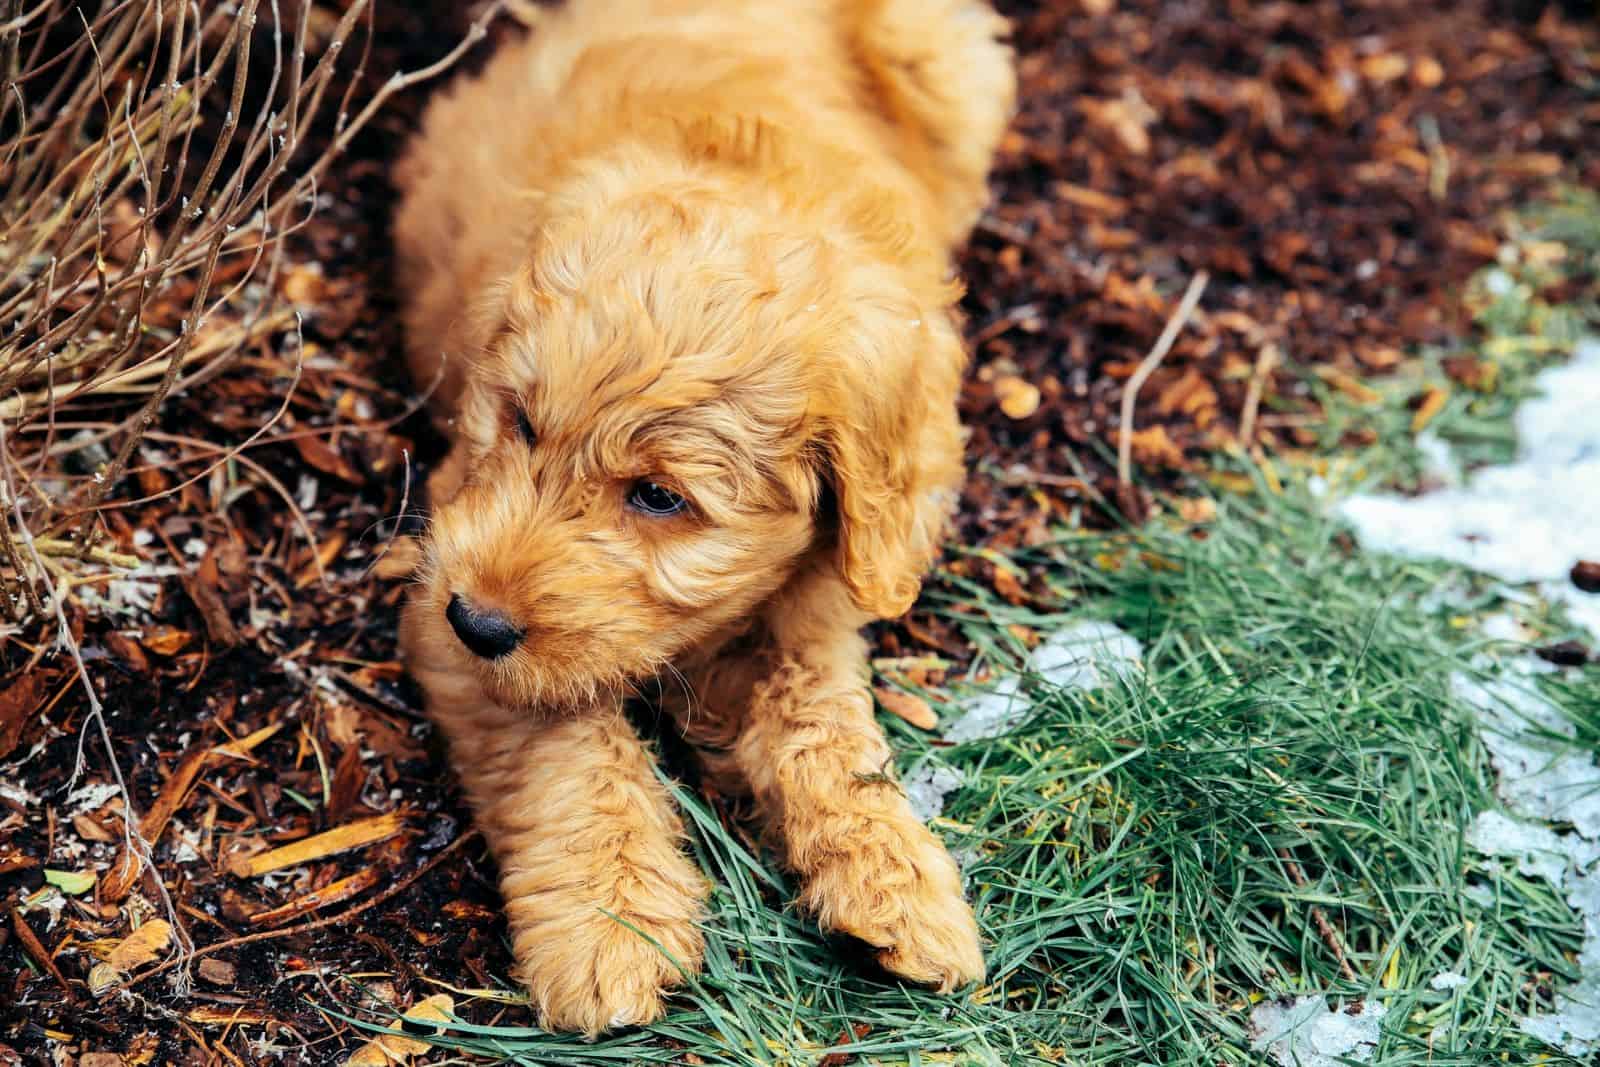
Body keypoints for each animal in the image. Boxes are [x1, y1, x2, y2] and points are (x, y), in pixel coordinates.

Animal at [392, 0, 1004, 1036]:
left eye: (658, 496)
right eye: (522, 425)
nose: (479, 621)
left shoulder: (825, 595)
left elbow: (824, 728)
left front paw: (895, 879)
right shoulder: (444, 576)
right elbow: (565, 744)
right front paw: (609, 925)